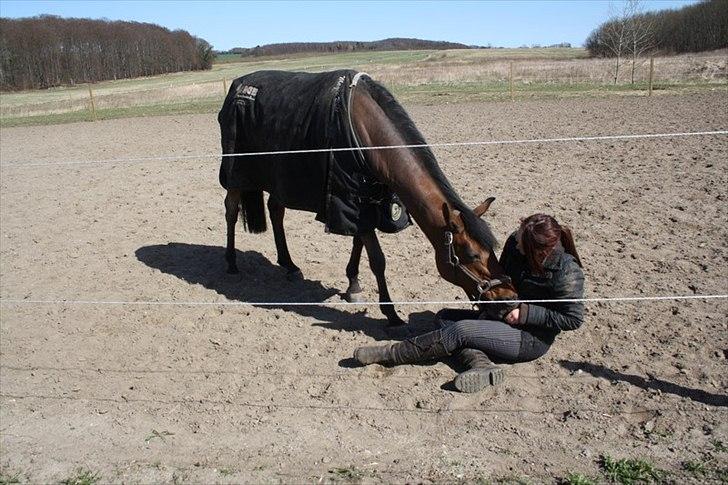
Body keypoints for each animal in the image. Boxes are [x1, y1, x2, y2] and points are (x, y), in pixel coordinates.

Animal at [218, 70, 517, 325]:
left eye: (492, 250)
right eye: (470, 254)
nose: (511, 299)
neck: (366, 132)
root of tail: (238, 86)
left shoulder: (366, 200)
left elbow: (358, 244)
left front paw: (353, 285)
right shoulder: (349, 198)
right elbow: (377, 259)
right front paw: (391, 313)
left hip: (281, 178)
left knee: (275, 210)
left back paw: (289, 265)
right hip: (236, 172)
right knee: (231, 210)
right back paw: (231, 263)